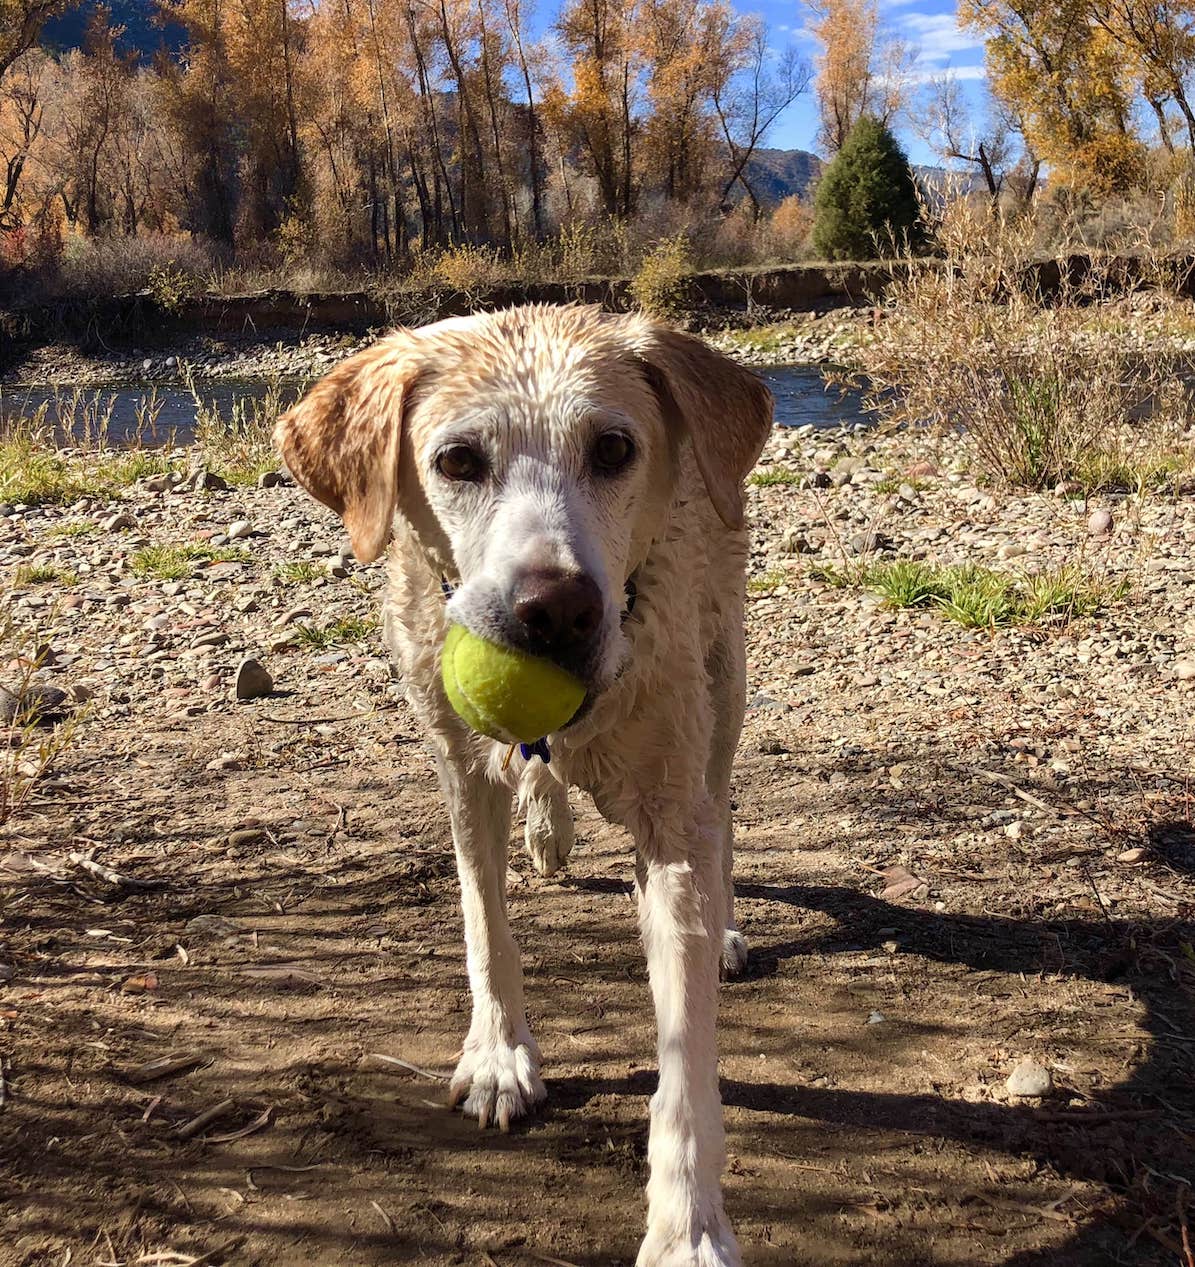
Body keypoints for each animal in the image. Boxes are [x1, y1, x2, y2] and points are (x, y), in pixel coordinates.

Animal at [273, 304, 775, 1267]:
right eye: (457, 460)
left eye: (613, 448)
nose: (557, 608)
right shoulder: (457, 765)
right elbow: (483, 920)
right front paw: (500, 1055)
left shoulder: (670, 809)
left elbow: (685, 1046)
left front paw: (687, 1223)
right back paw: (547, 828)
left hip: (724, 666)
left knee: (722, 798)